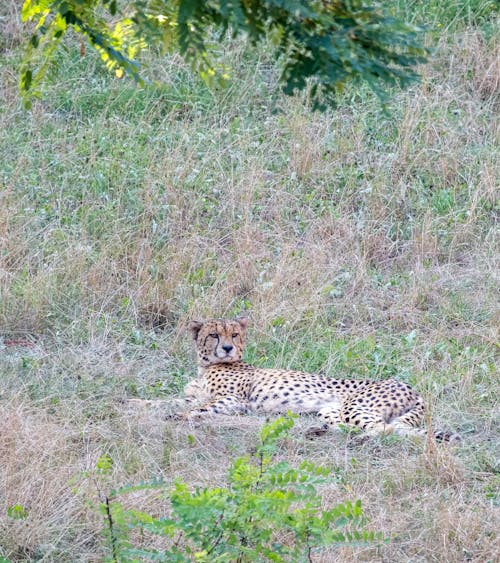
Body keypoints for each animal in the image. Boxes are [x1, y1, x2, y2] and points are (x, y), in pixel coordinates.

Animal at [181, 318, 460, 446]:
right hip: (330, 410)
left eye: (235, 334)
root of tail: (410, 386)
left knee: (386, 429)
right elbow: (178, 400)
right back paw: (318, 431)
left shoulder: (234, 399)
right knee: (377, 428)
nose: (227, 348)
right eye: (214, 335)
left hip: (355, 406)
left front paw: (181, 417)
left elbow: (199, 407)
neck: (206, 366)